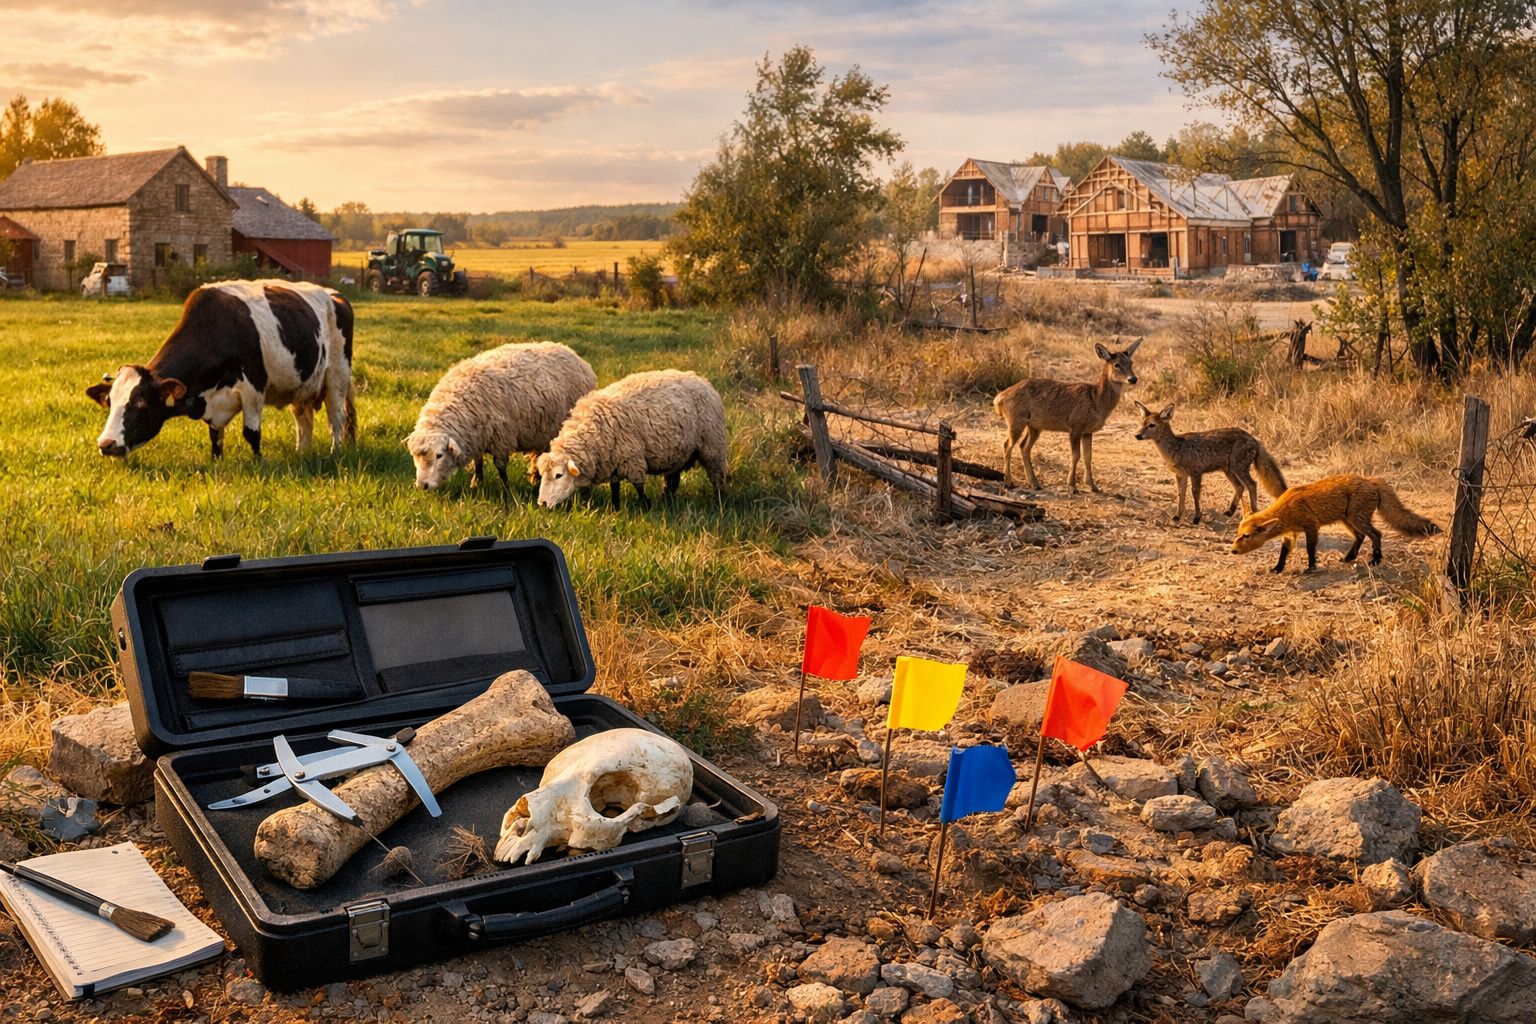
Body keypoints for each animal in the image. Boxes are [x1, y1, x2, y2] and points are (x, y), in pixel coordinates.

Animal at [86, 280, 356, 460]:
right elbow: (215, 437)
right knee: (303, 420)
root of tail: (334, 295)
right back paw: (302, 453)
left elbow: (251, 433)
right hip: (303, 385)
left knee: (336, 418)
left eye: (141, 404)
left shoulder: (253, 389)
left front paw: (258, 463)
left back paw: (336, 452)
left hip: (337, 376)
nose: (106, 443)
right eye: (110, 402)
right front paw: (217, 462)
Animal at [994, 337, 1142, 494]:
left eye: (1131, 362)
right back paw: (1008, 482)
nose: (1133, 379)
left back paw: (1034, 483)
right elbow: (1076, 455)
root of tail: (999, 399)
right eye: (1117, 364)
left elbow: (1088, 456)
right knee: (1007, 445)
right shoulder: (1075, 424)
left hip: (1034, 426)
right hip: (1016, 419)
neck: (1096, 400)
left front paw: (1093, 486)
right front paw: (1072, 486)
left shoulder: (1087, 431)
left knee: (1024, 446)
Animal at [1133, 401, 1287, 524]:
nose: (1137, 435)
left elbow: (1195, 494)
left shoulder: (1196, 473)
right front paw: (1177, 516)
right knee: (1240, 487)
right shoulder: (1180, 475)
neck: (1177, 448)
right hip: (1229, 470)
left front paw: (1197, 517)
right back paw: (1229, 512)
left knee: (1252, 485)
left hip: (1239, 468)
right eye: (1141, 424)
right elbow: (1181, 494)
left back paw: (1254, 513)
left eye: (1152, 425)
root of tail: (1253, 439)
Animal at [1231, 474, 1442, 573]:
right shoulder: (1291, 533)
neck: (1286, 509)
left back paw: (1375, 559)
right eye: (1237, 535)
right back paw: (1349, 557)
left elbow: (1310, 549)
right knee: (1361, 537)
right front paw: (1278, 568)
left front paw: (1311, 567)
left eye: (1246, 536)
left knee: (1376, 534)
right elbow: (1284, 553)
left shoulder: (1311, 526)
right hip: (1347, 520)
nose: (1232, 550)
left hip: (1356, 518)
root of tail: (1370, 480)